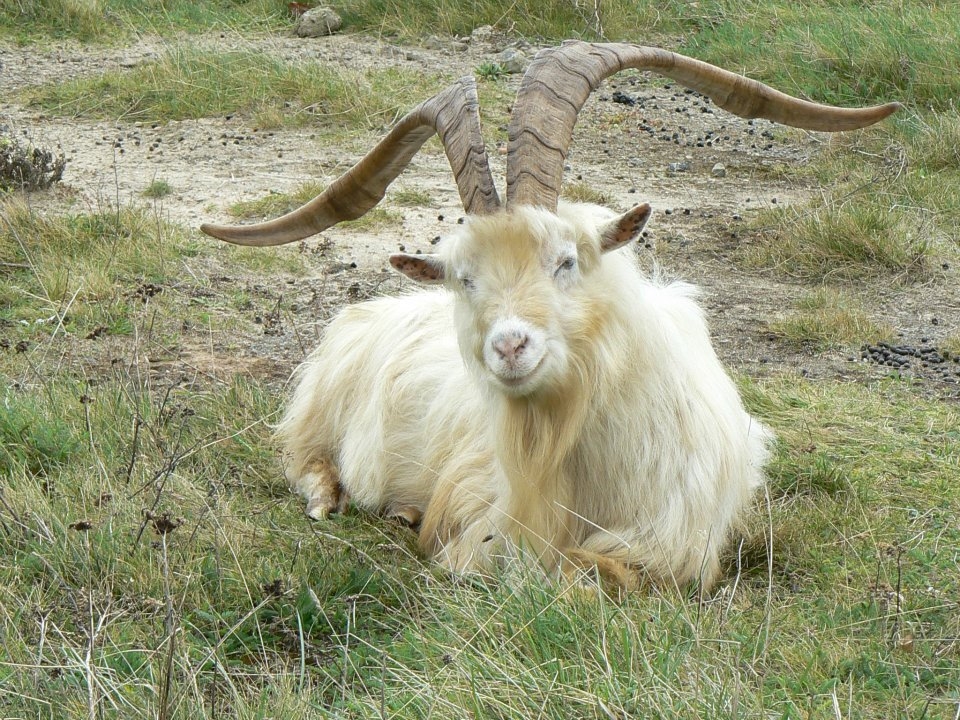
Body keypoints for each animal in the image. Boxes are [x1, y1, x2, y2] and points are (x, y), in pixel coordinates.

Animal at [202, 41, 899, 589]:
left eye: (567, 260)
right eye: (464, 278)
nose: (511, 347)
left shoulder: (683, 542)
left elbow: (603, 569)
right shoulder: (483, 502)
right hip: (318, 419)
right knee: (306, 463)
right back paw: (334, 500)